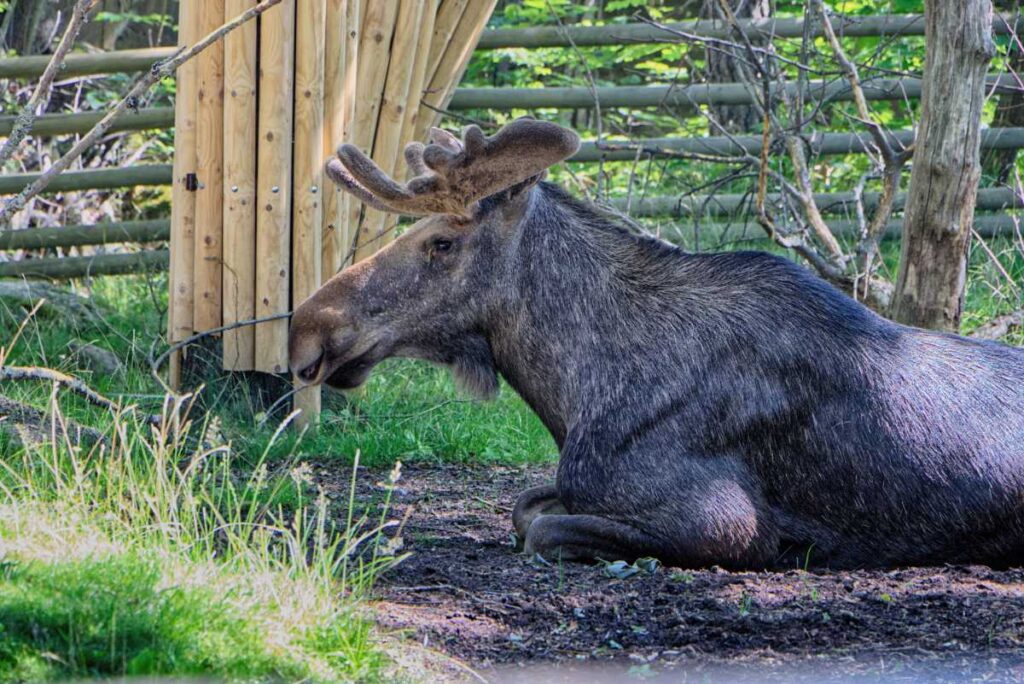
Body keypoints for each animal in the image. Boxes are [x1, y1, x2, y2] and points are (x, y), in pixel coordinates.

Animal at [286, 120, 1024, 569]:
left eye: (441, 243)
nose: (306, 330)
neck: (577, 388)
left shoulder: (722, 522)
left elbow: (540, 527)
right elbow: (527, 505)